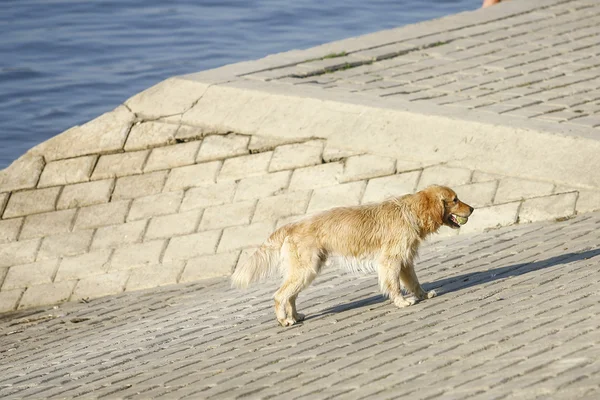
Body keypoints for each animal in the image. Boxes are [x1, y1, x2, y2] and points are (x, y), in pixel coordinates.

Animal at [232, 184, 472, 324]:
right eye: (455, 199)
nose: (472, 209)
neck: (409, 212)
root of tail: (290, 225)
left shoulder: (405, 261)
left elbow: (414, 282)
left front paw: (422, 295)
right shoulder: (390, 261)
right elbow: (394, 285)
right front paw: (402, 302)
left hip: (307, 271)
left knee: (290, 296)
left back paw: (296, 316)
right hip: (305, 269)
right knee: (279, 295)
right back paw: (284, 320)